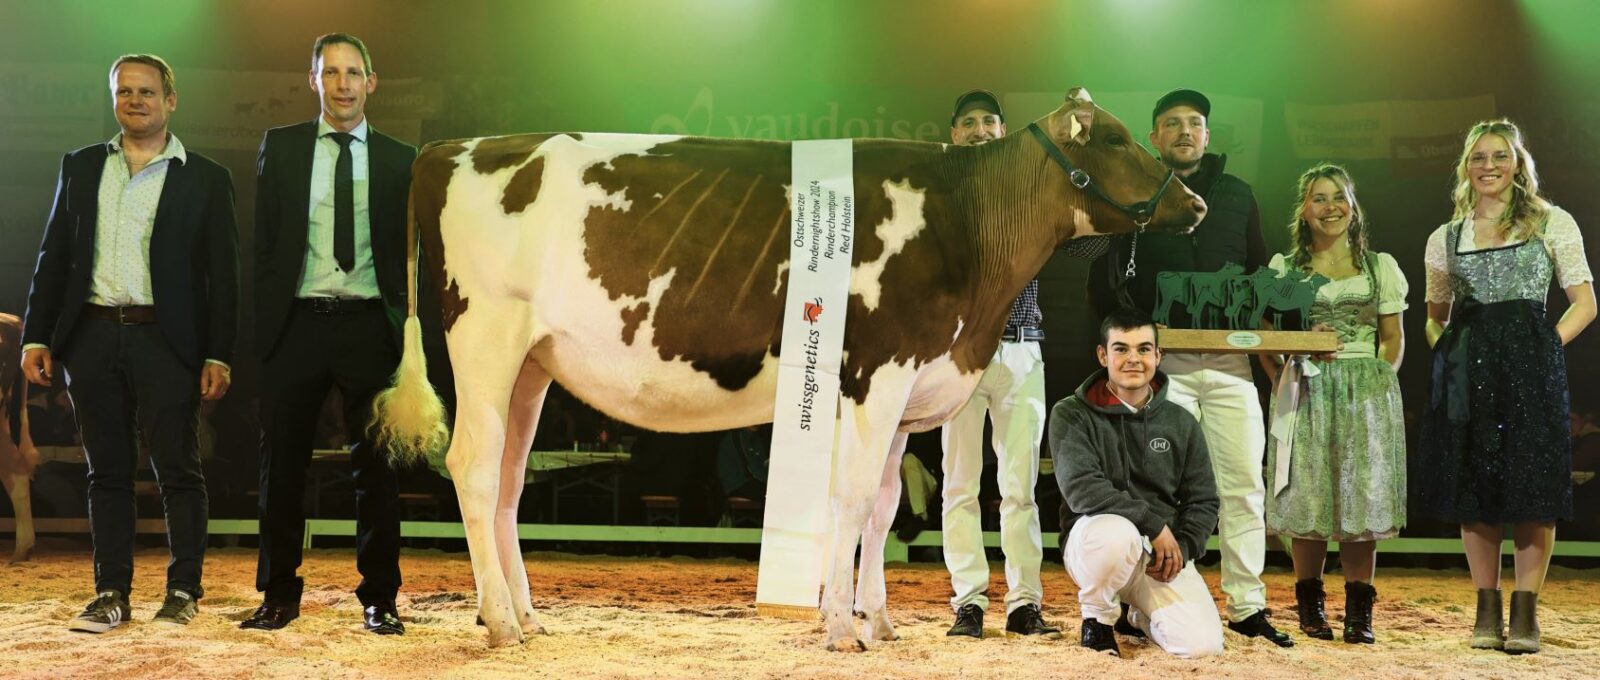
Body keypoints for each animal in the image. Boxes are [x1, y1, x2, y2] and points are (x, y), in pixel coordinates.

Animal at [371, 92, 1203, 649]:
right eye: (1118, 140)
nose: (1193, 203)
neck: (964, 226)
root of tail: (450, 148)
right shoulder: (877, 373)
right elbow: (852, 501)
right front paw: (841, 626)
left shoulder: (903, 393)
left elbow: (880, 508)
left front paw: (879, 619)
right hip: (485, 338)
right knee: (474, 468)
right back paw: (501, 623)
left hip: (532, 367)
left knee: (511, 482)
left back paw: (525, 613)